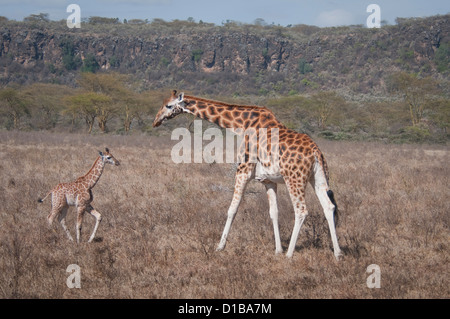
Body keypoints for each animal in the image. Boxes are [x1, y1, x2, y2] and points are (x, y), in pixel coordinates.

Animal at [153, 90, 342, 260]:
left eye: (168, 105)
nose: (156, 121)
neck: (242, 124)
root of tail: (316, 152)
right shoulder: (268, 180)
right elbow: (274, 212)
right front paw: (278, 250)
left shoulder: (242, 170)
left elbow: (232, 209)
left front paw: (220, 246)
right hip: (317, 177)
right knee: (329, 207)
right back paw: (338, 253)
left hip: (294, 178)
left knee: (301, 210)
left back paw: (290, 255)